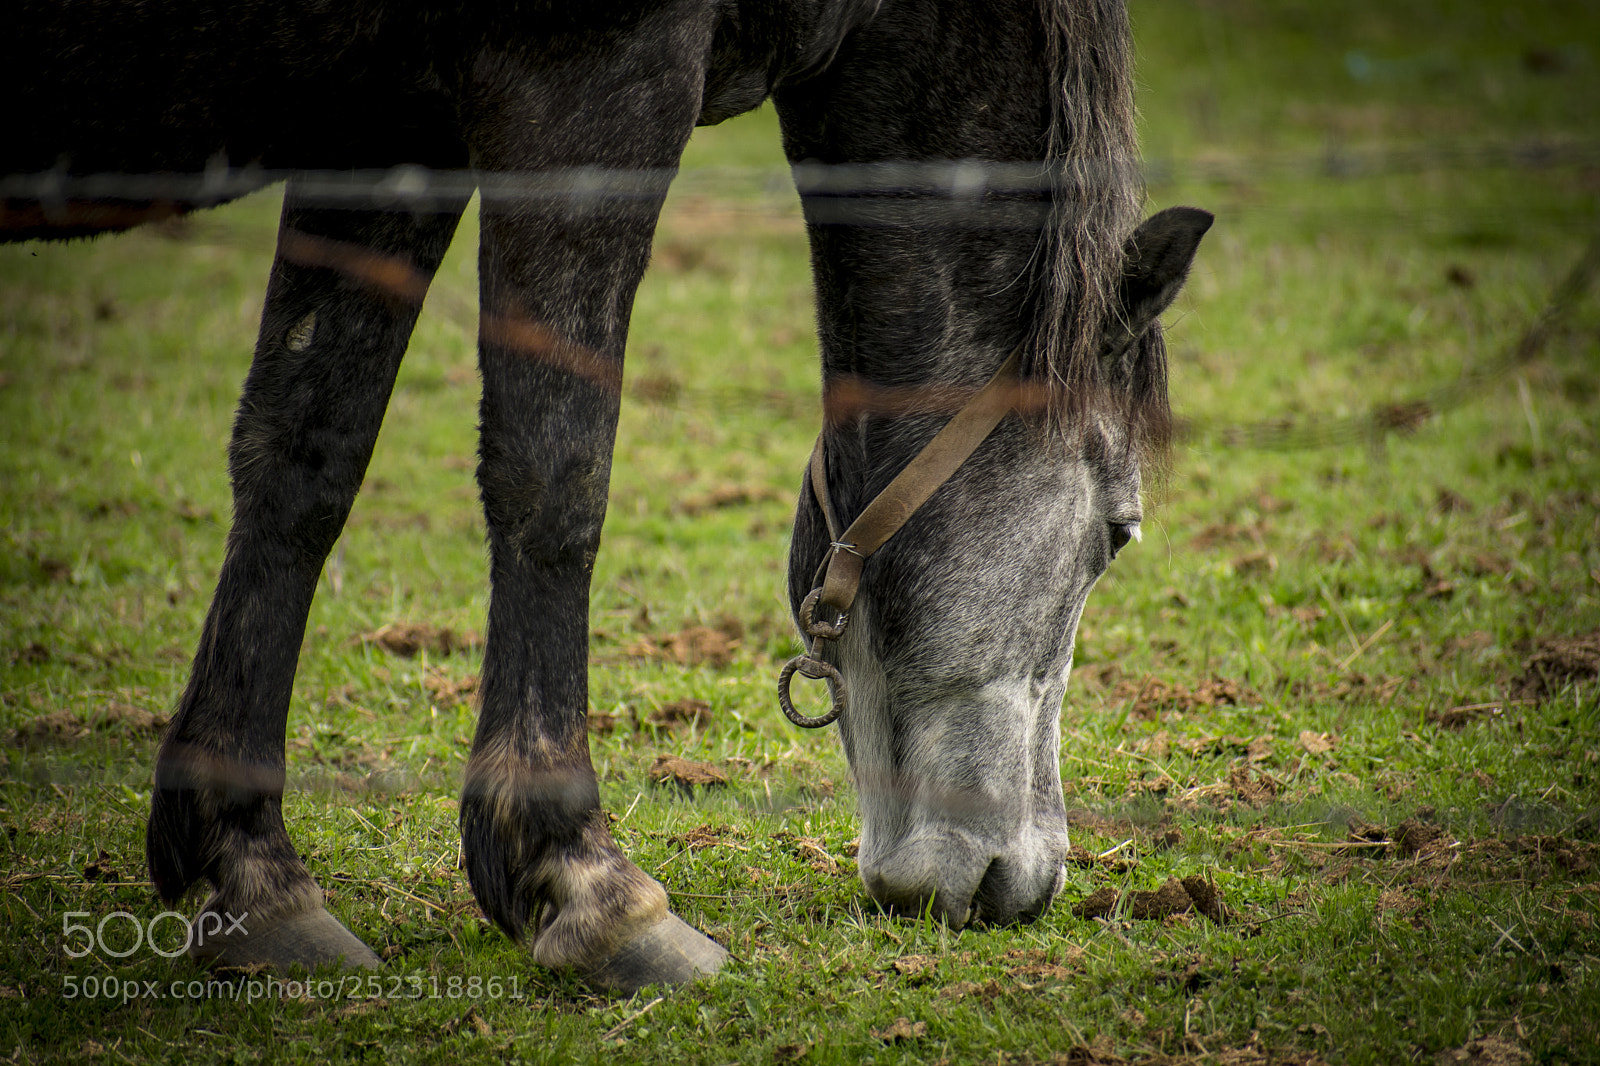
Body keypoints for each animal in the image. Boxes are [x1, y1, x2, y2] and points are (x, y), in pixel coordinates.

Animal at [2, 0, 1210, 992]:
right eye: (1117, 534)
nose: (1027, 877)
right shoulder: (588, 95)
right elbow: (556, 472)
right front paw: (580, 881)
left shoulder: (385, 127)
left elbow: (304, 454)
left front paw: (247, 874)